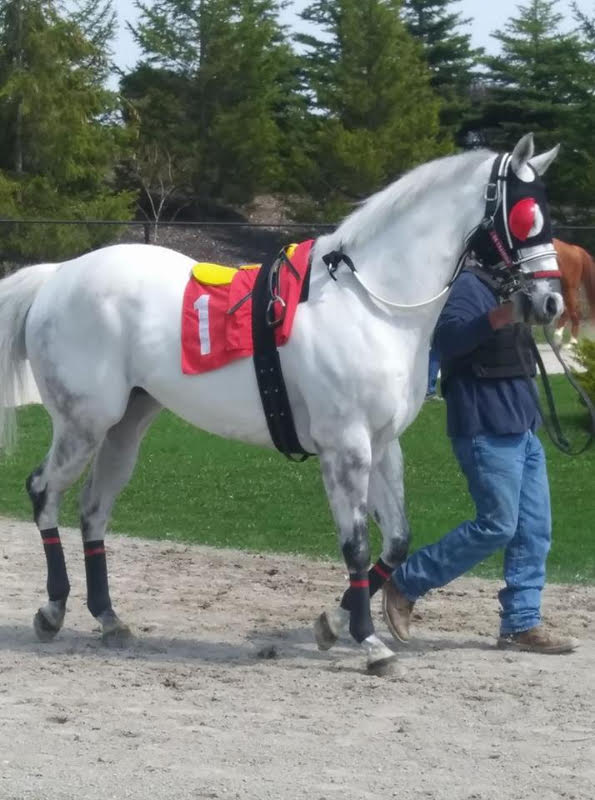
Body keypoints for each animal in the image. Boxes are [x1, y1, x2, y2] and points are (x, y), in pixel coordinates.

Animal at [0, 133, 563, 674]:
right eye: (525, 216)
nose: (551, 302)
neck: (371, 304)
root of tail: (58, 275)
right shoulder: (345, 449)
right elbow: (356, 545)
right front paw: (369, 643)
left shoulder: (384, 446)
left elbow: (397, 541)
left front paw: (331, 625)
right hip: (83, 423)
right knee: (43, 492)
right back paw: (53, 610)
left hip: (126, 427)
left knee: (93, 512)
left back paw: (108, 618)